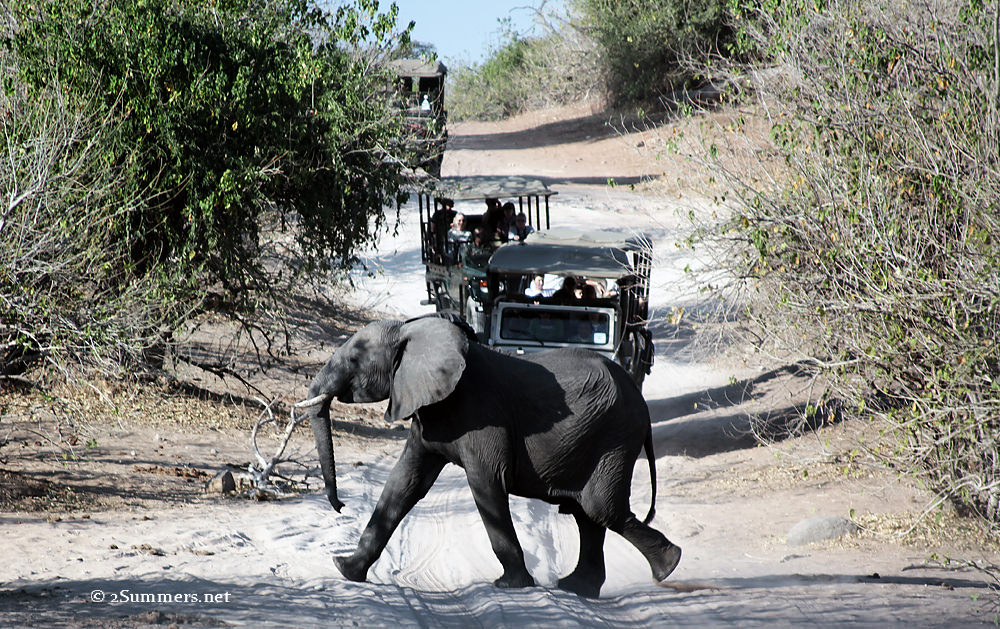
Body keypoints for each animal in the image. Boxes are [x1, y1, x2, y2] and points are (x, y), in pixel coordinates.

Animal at [301, 316, 681, 598]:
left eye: (354, 360)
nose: (340, 506)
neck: (415, 331)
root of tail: (641, 402)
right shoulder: (429, 412)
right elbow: (403, 483)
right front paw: (344, 568)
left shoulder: (482, 414)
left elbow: (486, 483)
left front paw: (510, 586)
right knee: (587, 513)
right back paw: (578, 588)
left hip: (614, 435)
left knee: (600, 507)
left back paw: (668, 567)